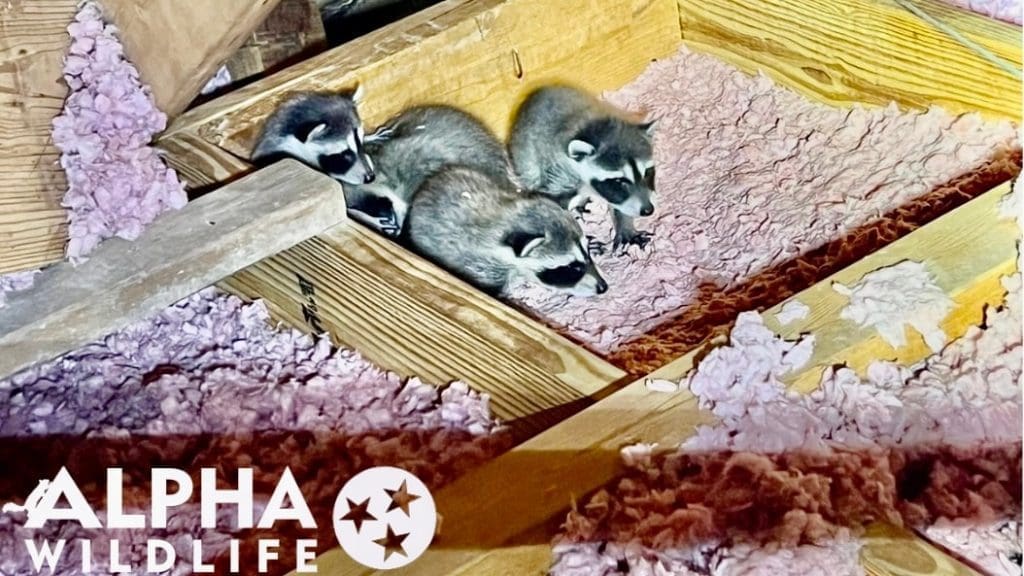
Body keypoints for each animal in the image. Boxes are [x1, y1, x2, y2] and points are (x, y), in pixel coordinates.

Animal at [508, 84, 657, 253]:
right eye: (619, 181)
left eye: (647, 173)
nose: (648, 210)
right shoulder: (560, 175)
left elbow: (621, 205)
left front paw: (626, 228)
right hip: (525, 159)